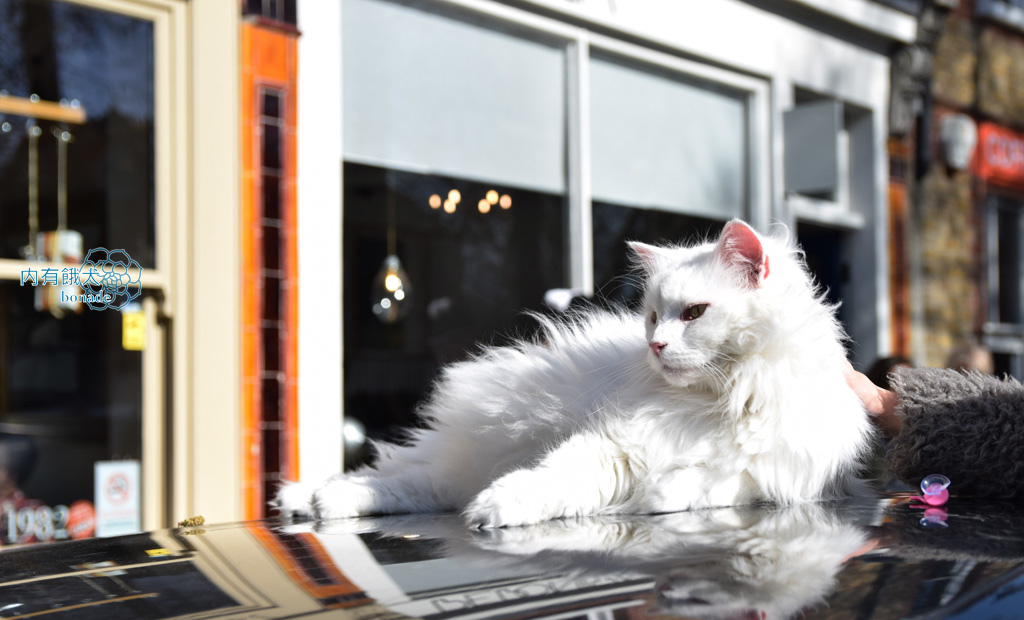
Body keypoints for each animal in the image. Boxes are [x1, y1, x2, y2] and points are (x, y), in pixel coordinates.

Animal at [280, 220, 872, 524]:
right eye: (651, 317)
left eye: (693, 314)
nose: (655, 345)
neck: (717, 401)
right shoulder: (618, 447)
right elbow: (549, 480)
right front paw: (497, 509)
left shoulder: (788, 472)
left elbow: (724, 481)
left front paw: (663, 495)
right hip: (469, 455)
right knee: (389, 477)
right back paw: (311, 499)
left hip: (455, 470)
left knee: (412, 485)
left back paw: (320, 503)